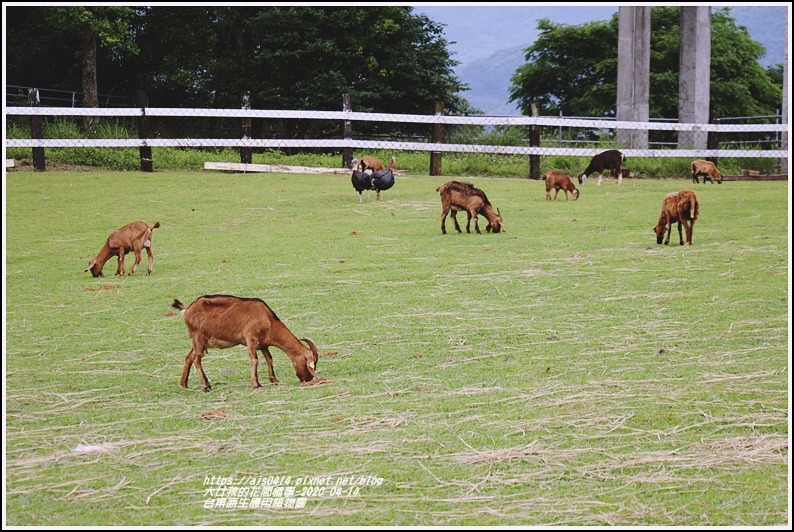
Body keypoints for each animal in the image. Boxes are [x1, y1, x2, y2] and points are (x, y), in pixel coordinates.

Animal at [171, 296, 318, 390]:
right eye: (312, 363)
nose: (307, 379)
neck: (268, 319)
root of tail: (187, 309)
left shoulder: (263, 344)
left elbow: (269, 359)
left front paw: (274, 380)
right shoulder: (251, 339)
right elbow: (255, 360)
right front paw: (256, 383)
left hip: (198, 341)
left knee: (189, 357)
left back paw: (184, 384)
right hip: (198, 338)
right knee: (197, 359)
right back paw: (206, 385)